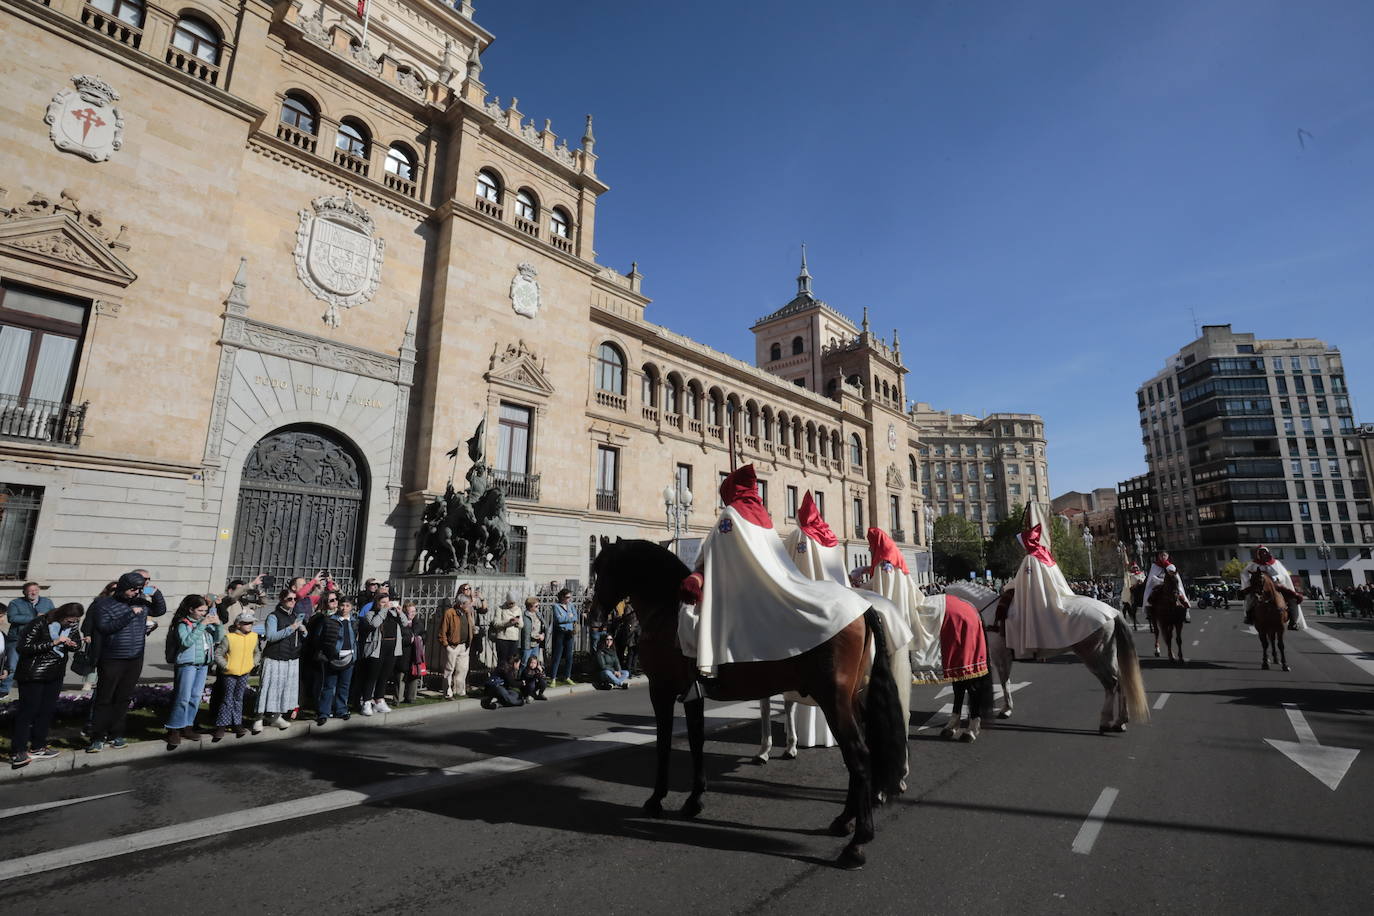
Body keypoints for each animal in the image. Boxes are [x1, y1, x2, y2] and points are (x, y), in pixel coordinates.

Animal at [588, 541, 901, 873]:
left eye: (606, 568)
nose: (593, 618)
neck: (666, 610)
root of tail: (863, 607)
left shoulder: (661, 690)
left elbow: (663, 745)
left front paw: (656, 800)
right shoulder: (692, 694)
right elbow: (696, 742)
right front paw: (694, 800)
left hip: (833, 700)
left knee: (858, 755)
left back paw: (857, 842)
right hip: (851, 698)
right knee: (863, 750)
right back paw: (844, 821)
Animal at [945, 585, 1148, 736]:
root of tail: (1112, 611)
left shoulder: (999, 656)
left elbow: (1004, 682)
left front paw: (1006, 709)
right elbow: (1004, 682)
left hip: (1095, 655)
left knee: (1111, 684)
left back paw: (1106, 721)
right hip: (1107, 653)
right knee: (1121, 681)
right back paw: (1120, 721)